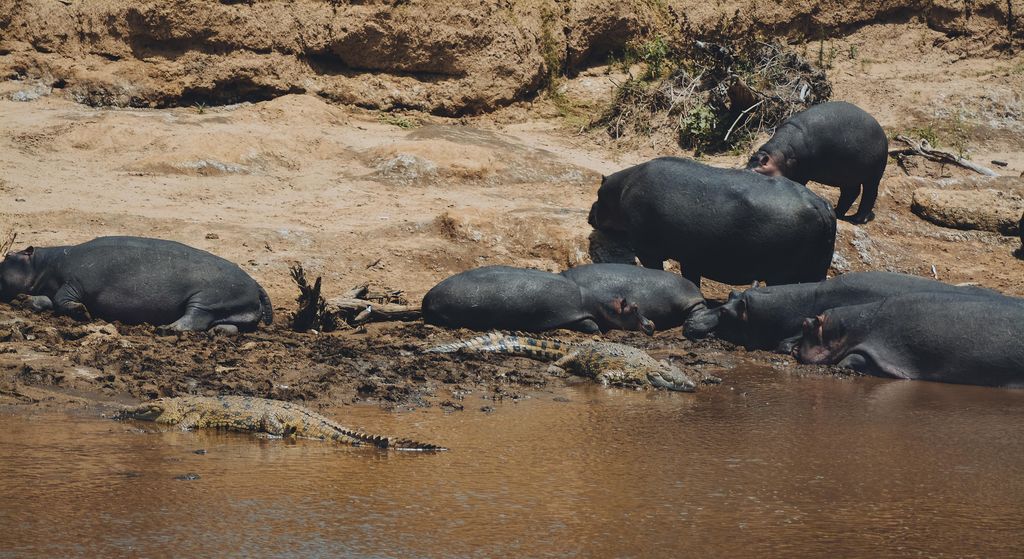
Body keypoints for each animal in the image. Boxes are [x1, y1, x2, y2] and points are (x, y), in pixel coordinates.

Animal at [0, 236, 273, 332]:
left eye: (7, 255)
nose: (6, 254)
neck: (43, 263)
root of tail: (255, 282)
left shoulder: (74, 281)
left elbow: (62, 298)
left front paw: (83, 313)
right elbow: (46, 299)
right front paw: (30, 302)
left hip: (207, 298)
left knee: (195, 318)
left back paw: (166, 329)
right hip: (231, 308)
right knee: (224, 324)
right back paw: (219, 333)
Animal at [422, 265, 653, 334]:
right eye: (634, 308)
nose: (651, 324)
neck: (601, 304)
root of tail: (426, 299)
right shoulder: (572, 312)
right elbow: (591, 324)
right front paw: (596, 329)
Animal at [588, 156, 836, 288]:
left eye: (598, 193)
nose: (590, 213)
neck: (621, 189)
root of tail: (820, 205)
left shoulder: (648, 250)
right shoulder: (691, 257)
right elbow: (691, 278)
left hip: (782, 274)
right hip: (818, 270)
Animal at [747, 101, 888, 224]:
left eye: (757, 172)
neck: (779, 153)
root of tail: (882, 133)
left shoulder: (801, 172)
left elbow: (799, 182)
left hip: (873, 177)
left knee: (869, 194)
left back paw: (858, 219)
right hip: (848, 177)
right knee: (850, 193)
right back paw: (838, 213)